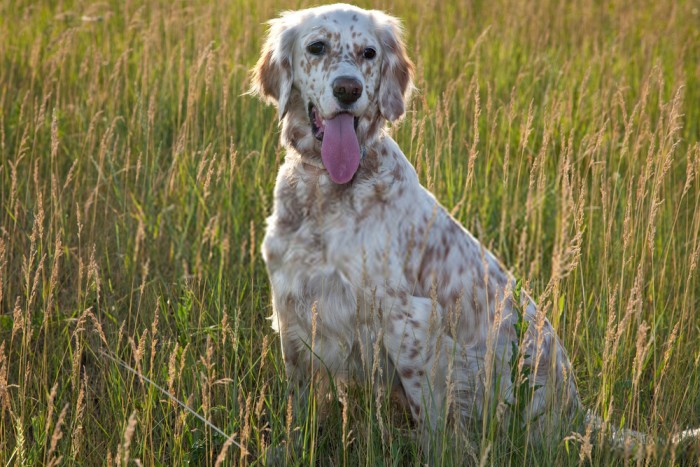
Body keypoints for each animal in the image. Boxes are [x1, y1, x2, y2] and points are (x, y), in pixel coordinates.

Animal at [250, 1, 696, 452]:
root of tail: (576, 409)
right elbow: (299, 405)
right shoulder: (292, 307)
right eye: (317, 47)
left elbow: (432, 427)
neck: (328, 191)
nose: (348, 90)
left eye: (369, 53)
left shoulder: (411, 321)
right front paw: (291, 447)